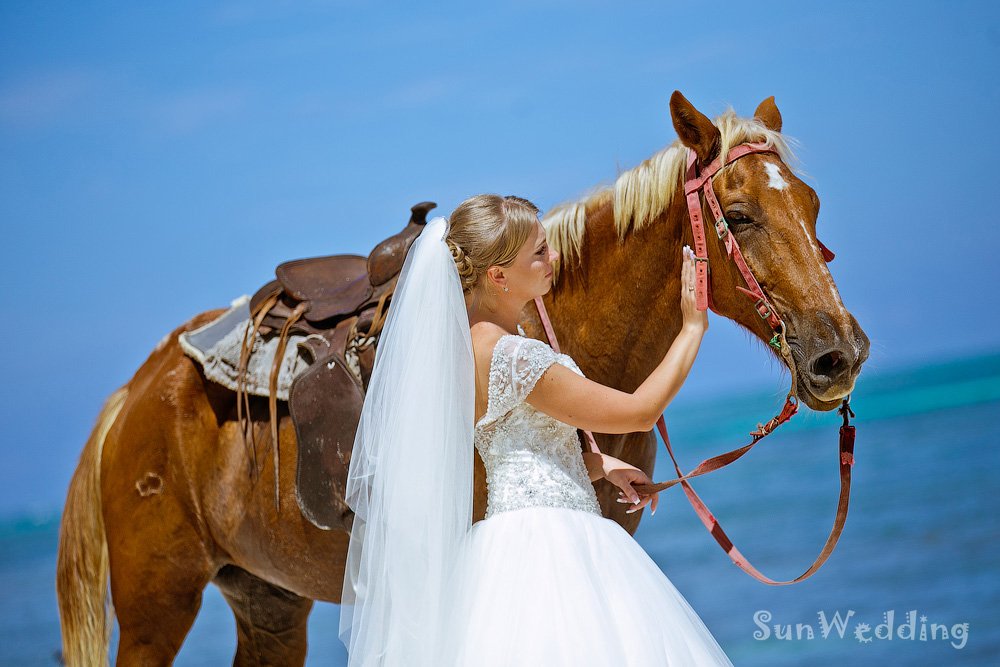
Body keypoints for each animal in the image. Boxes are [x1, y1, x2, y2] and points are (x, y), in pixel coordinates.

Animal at [54, 91, 868, 664]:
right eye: (741, 214)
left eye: (813, 204)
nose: (841, 354)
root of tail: (138, 390)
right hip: (157, 607)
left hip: (270, 604)